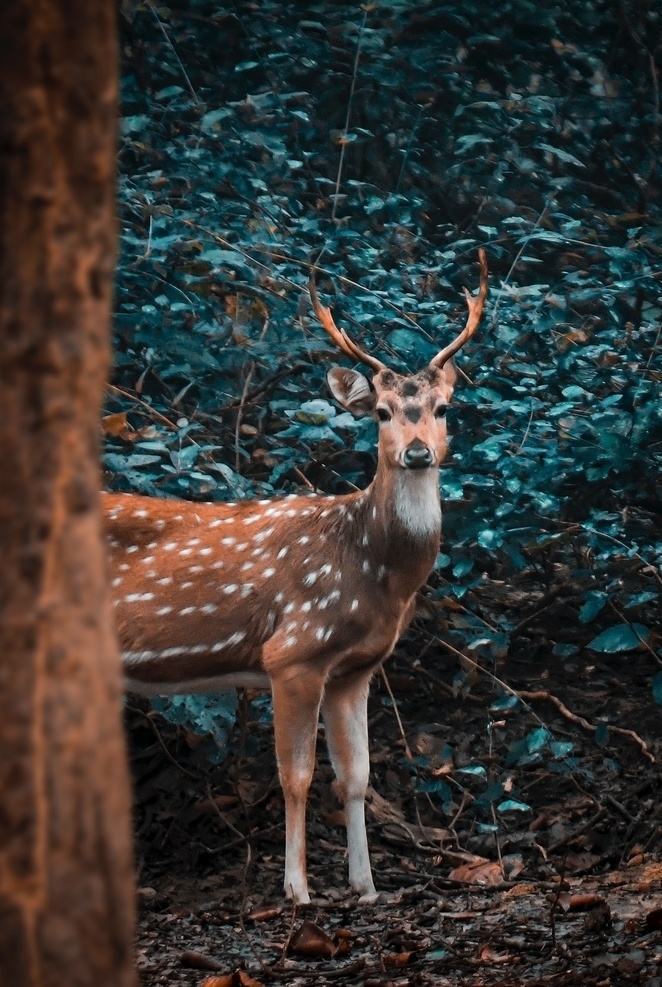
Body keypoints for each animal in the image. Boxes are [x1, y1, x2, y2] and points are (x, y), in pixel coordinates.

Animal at [104, 249, 488, 904]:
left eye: (442, 409)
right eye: (381, 412)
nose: (416, 453)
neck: (373, 572)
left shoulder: (355, 670)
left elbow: (357, 777)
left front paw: (366, 887)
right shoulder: (293, 654)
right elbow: (297, 777)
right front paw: (297, 889)